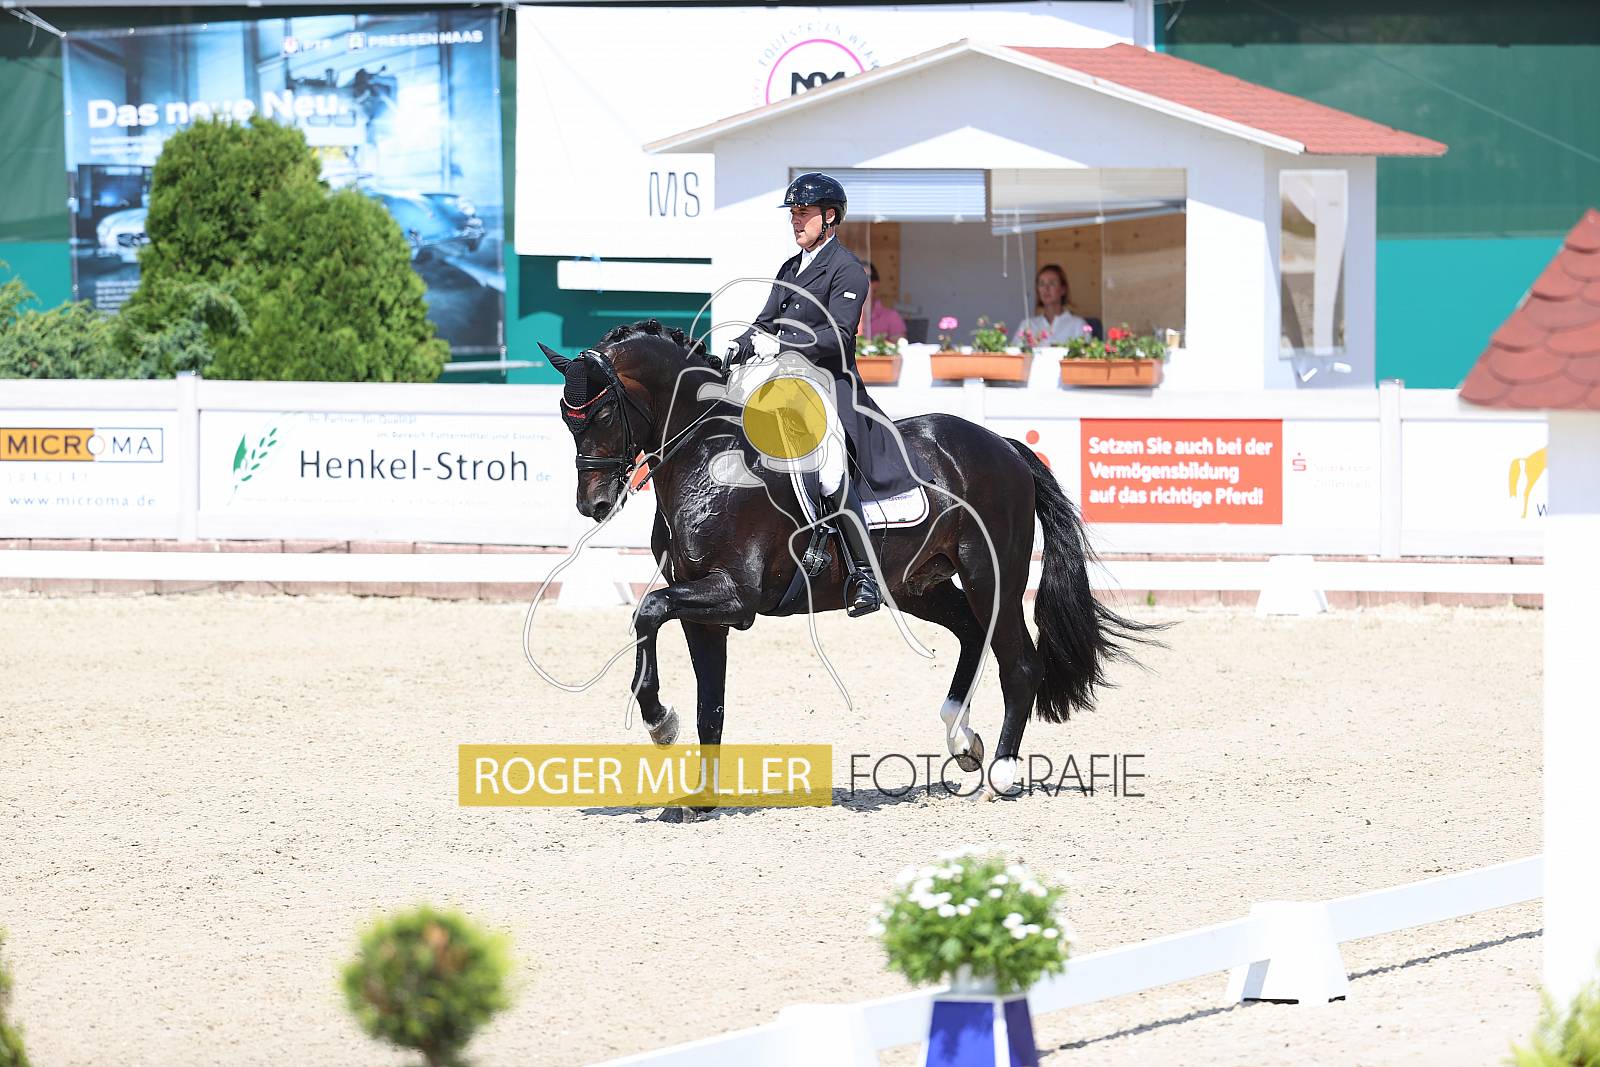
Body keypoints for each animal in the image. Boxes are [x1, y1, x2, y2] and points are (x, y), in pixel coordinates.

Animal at [538, 319, 1156, 816]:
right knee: (970, 634)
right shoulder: (700, 609)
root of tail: (1004, 448)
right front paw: (698, 799)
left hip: (991, 576)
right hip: (918, 585)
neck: (706, 459)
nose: (593, 504)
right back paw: (963, 742)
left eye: (601, 412)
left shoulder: (734, 597)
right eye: (568, 420)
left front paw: (658, 721)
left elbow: (647, 610)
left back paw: (1000, 773)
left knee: (1019, 662)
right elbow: (707, 700)